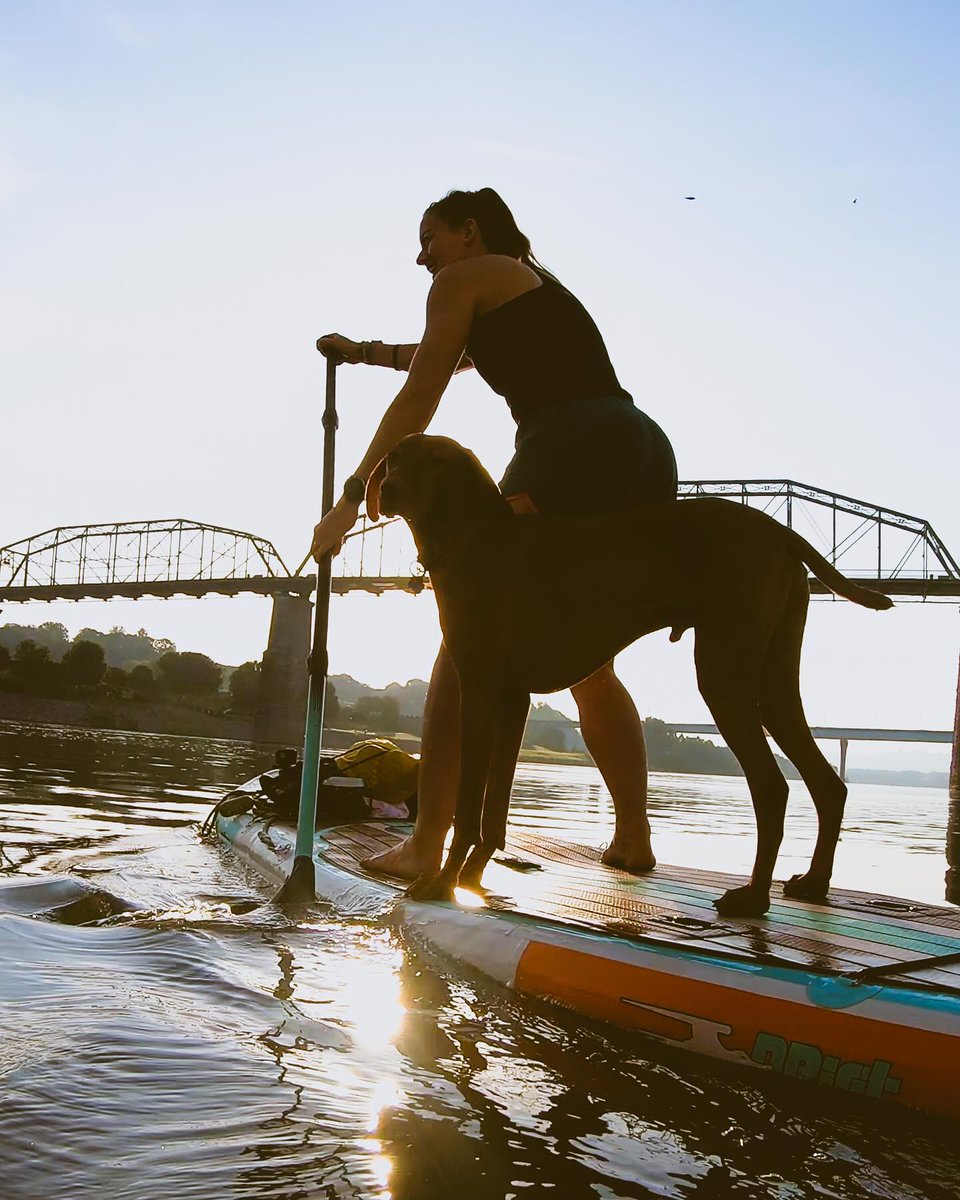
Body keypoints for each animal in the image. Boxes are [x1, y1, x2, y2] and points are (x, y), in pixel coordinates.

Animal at [376, 436, 892, 912]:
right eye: (395, 457)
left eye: (434, 459)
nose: (384, 488)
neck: (475, 537)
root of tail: (779, 531)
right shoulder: (513, 701)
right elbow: (494, 814)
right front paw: (472, 876)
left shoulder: (480, 690)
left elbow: (468, 810)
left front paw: (442, 882)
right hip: (775, 680)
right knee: (828, 784)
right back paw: (814, 883)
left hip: (724, 673)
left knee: (773, 785)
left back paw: (753, 897)